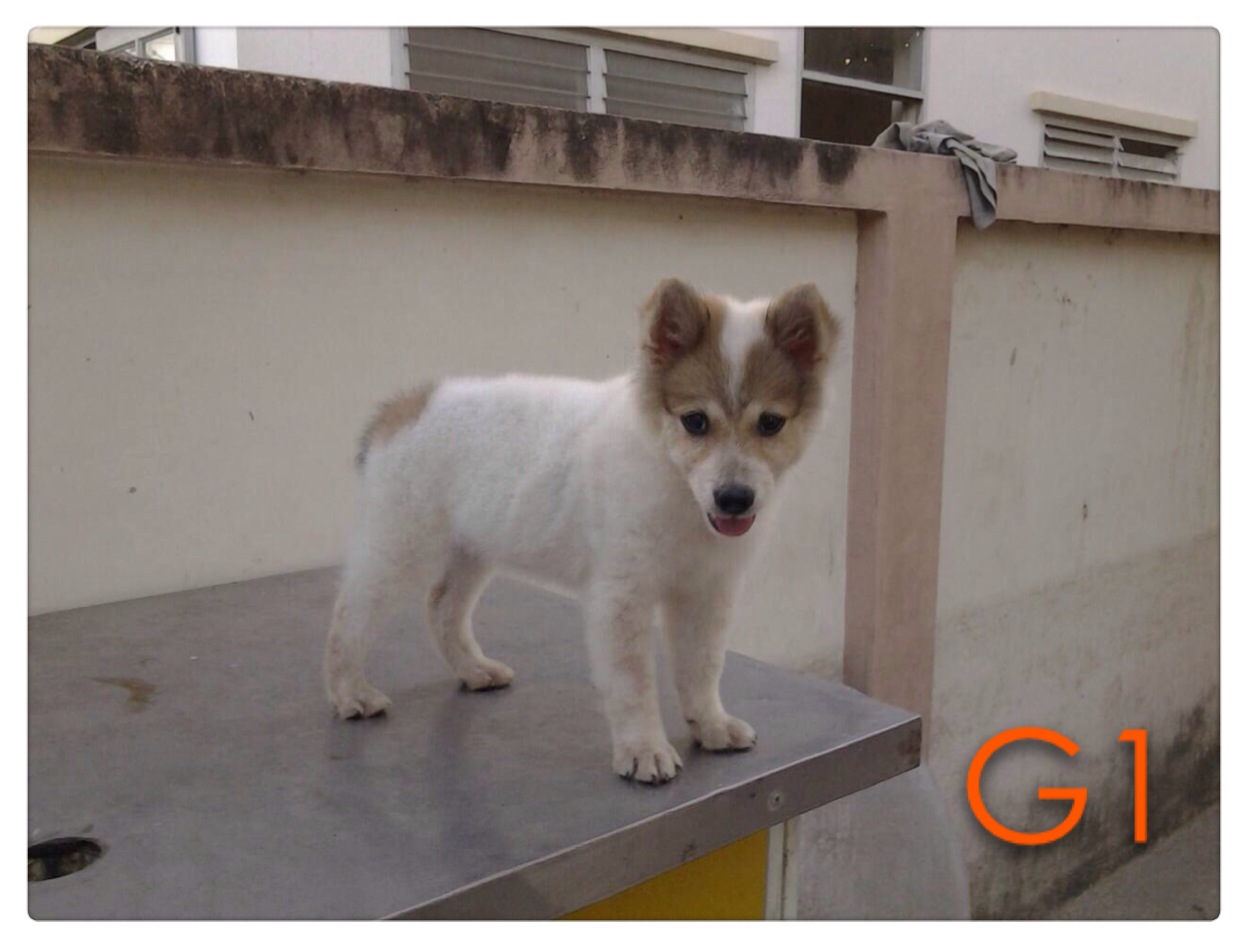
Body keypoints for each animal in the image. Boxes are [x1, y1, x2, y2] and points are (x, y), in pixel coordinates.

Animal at [323, 278, 840, 784]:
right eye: (695, 422)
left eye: (770, 423)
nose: (734, 498)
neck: (674, 483)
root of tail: (402, 408)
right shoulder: (621, 596)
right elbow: (633, 682)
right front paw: (643, 748)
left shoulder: (706, 592)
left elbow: (703, 667)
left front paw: (710, 725)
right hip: (399, 548)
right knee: (349, 617)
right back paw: (350, 693)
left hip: (473, 547)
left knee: (442, 608)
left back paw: (473, 670)